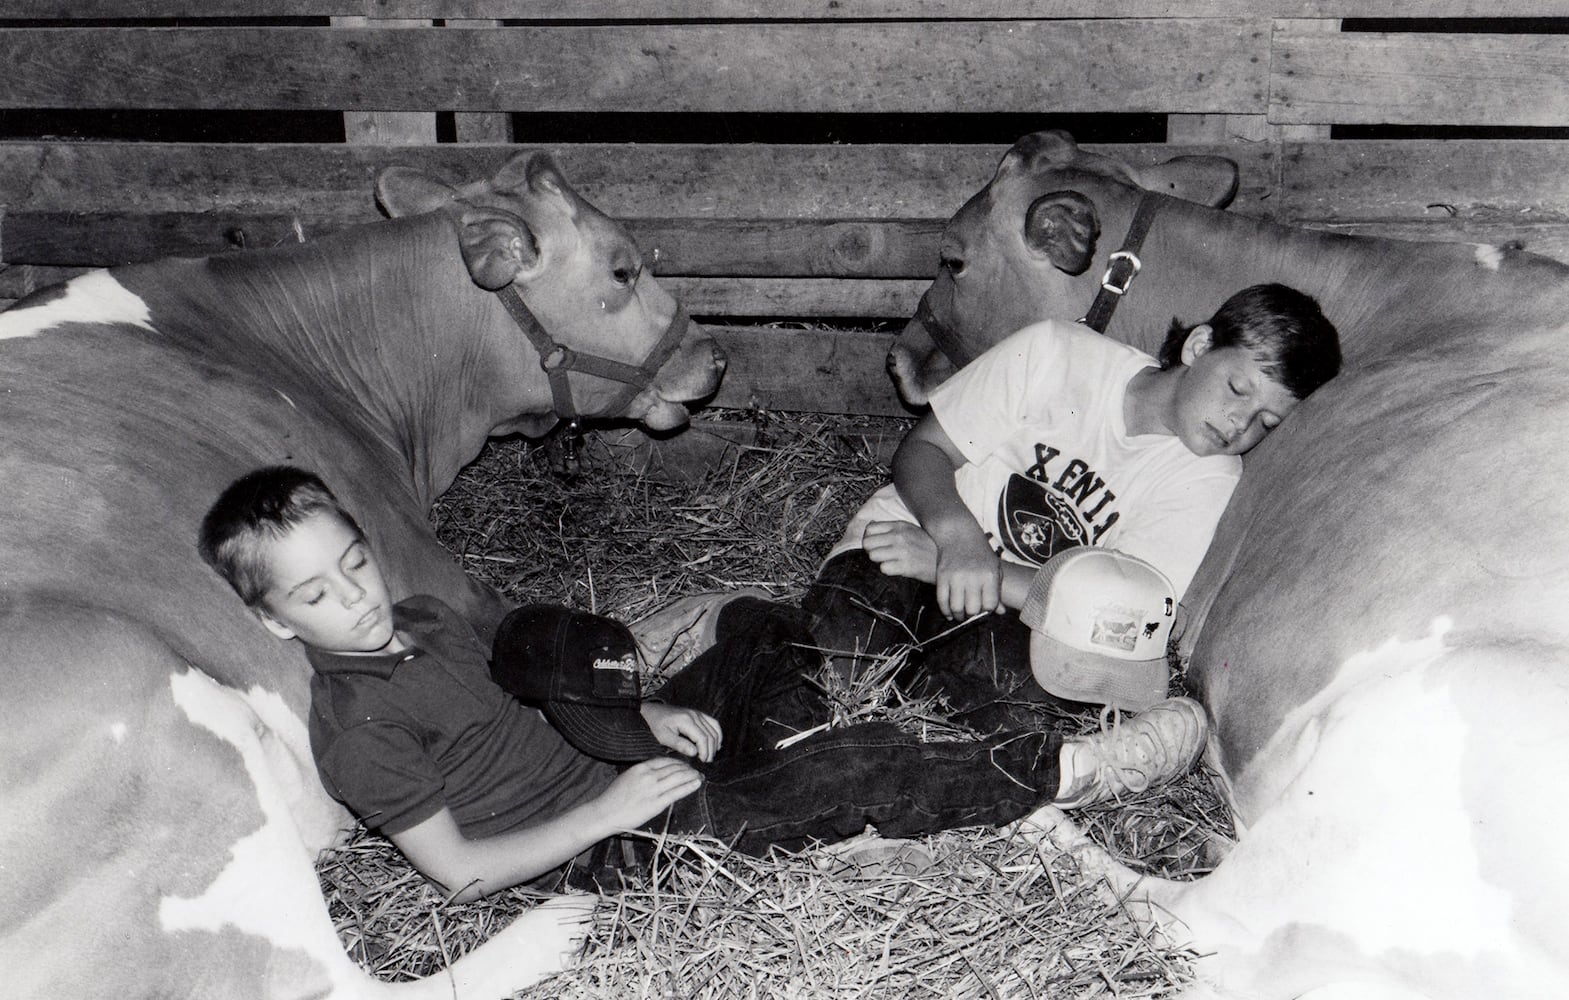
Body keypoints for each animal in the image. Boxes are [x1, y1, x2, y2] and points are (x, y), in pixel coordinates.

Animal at [0, 149, 728, 998]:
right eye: (621, 267)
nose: (714, 358)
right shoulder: (429, 570)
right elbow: (645, 632)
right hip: (165, 725)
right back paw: (553, 931)